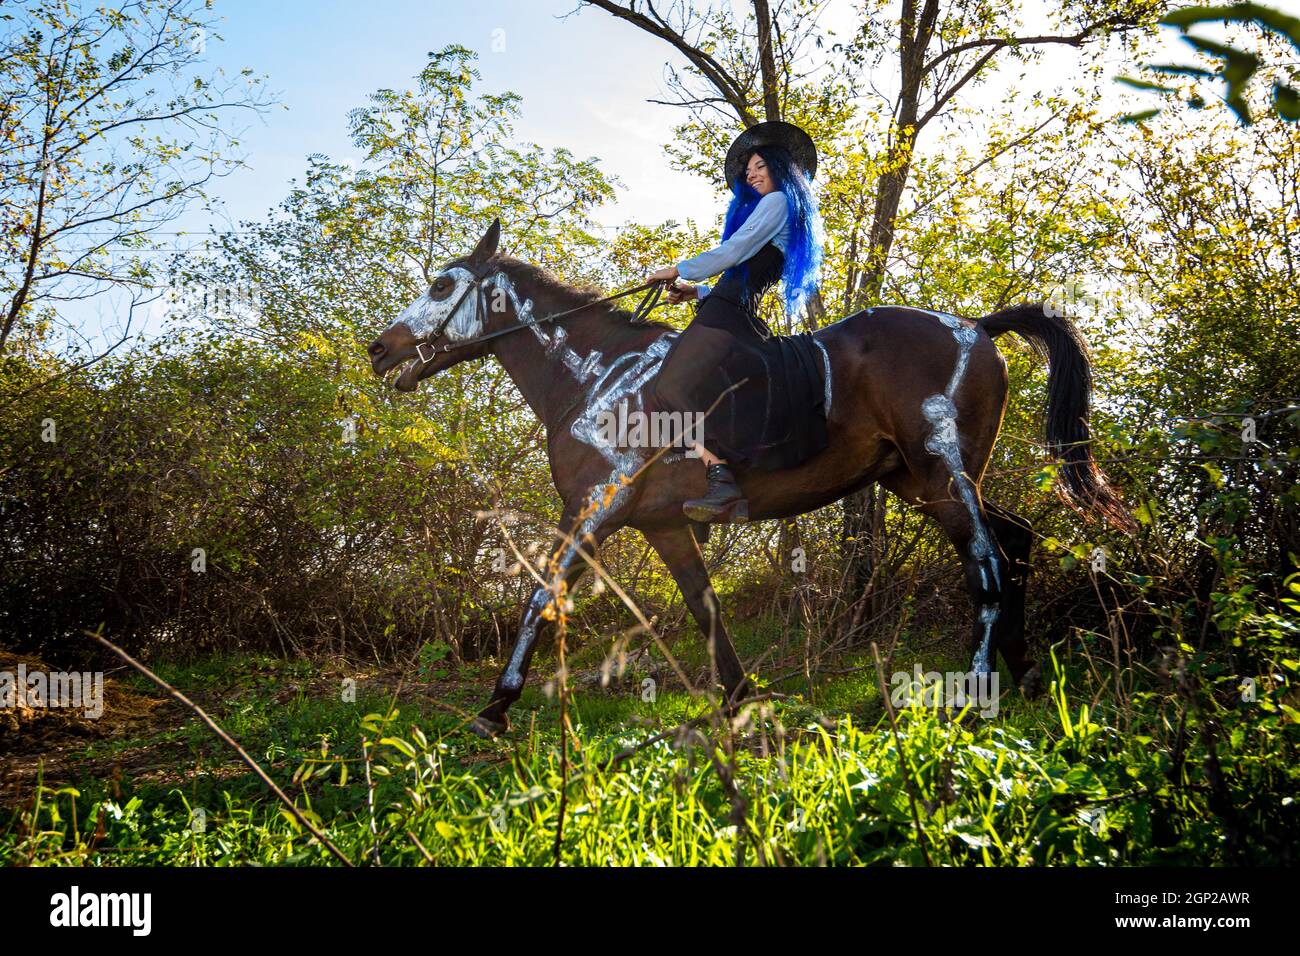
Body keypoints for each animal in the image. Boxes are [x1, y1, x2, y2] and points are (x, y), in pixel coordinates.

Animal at [367, 218, 1133, 737]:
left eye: (442, 284)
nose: (379, 350)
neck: (593, 374)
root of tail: (975, 325)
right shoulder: (663, 524)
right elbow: (705, 608)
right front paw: (743, 701)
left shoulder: (591, 509)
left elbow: (539, 597)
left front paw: (496, 705)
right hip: (921, 481)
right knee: (1017, 540)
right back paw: (1023, 669)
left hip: (941, 473)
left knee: (987, 562)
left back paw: (974, 691)